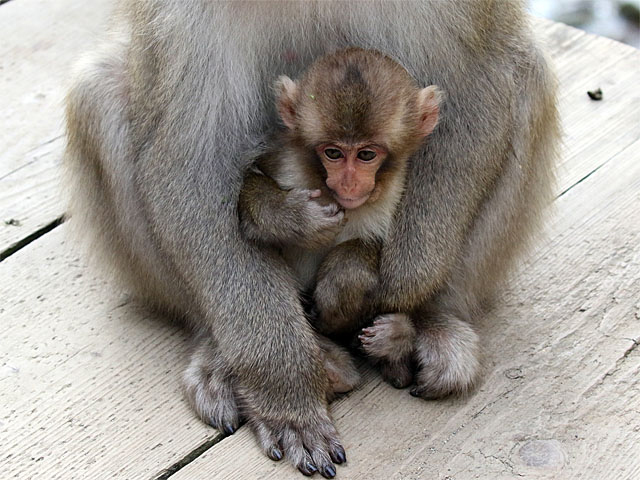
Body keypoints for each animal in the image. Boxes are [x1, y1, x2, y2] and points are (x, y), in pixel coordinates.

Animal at [238, 47, 442, 388]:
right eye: (333, 153)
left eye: (366, 155)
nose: (348, 183)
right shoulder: (285, 157)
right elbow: (249, 184)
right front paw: (295, 218)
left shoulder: (397, 194)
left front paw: (345, 276)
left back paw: (393, 340)